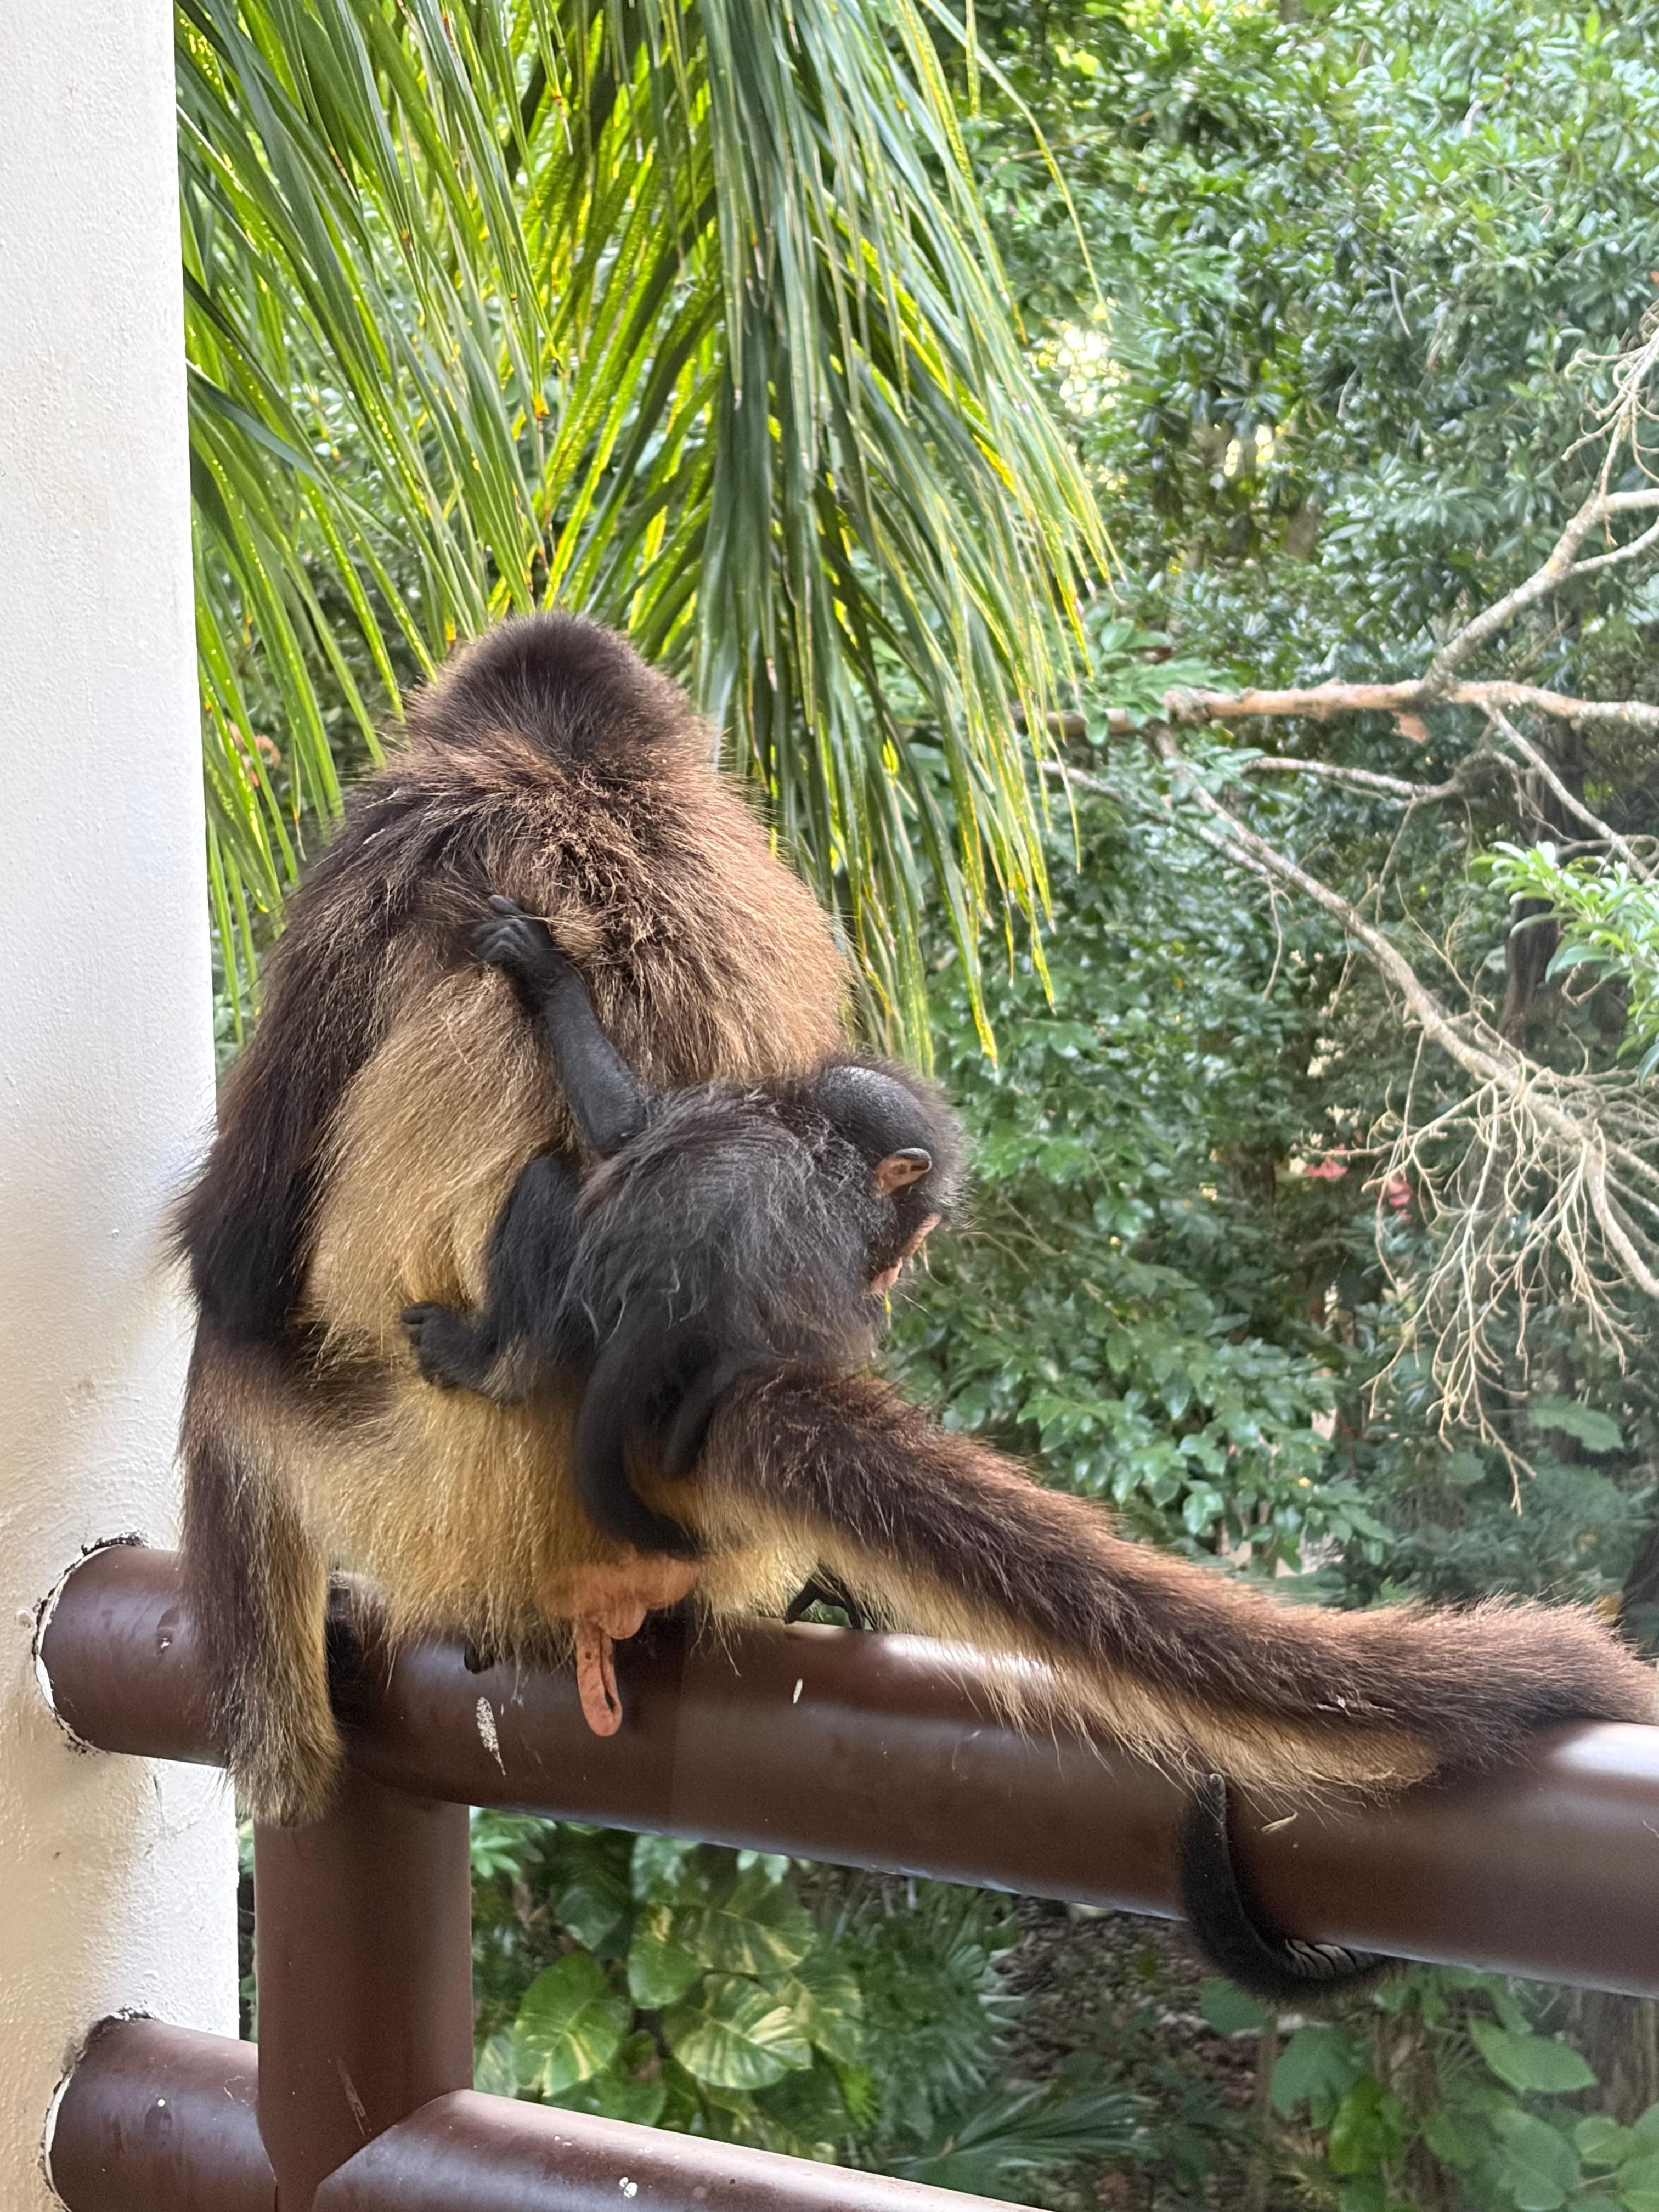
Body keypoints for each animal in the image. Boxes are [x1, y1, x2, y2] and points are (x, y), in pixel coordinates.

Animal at [173, 612, 1654, 2000]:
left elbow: (230, 1260)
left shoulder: (379, 844)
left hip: (418, 1484)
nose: (888, 1260)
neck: (578, 779)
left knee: (243, 1372)